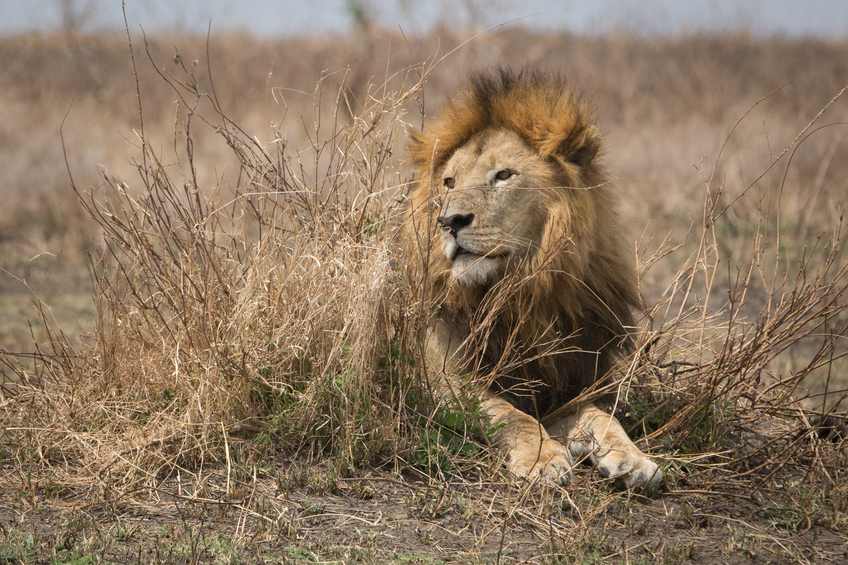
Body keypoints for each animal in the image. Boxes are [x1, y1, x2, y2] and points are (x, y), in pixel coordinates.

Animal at [406, 68, 662, 488]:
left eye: (504, 175)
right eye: (449, 183)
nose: (448, 221)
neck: (524, 294)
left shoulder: (570, 386)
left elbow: (602, 418)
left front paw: (633, 459)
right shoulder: (440, 381)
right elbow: (511, 415)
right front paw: (544, 459)